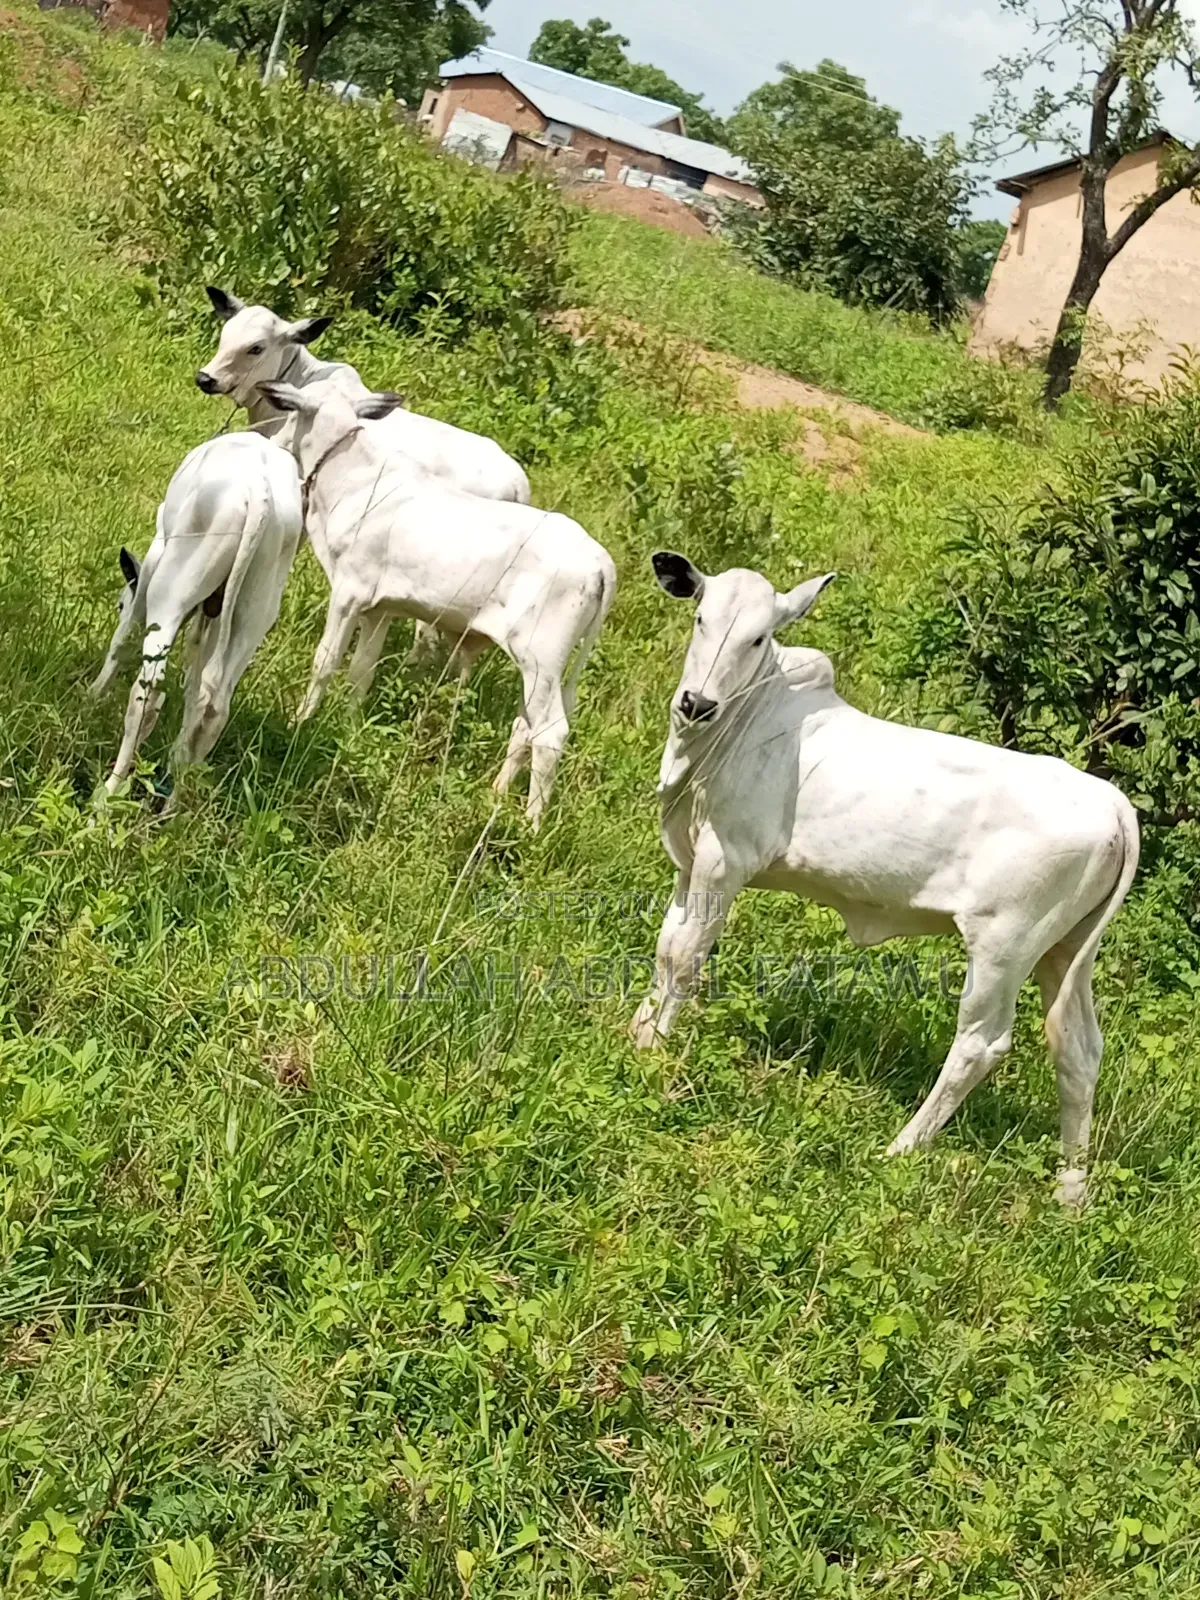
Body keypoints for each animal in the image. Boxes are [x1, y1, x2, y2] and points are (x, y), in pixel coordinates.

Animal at [91, 432, 303, 795]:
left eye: (119, 604)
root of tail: (259, 491)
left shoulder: (156, 552)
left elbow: (125, 636)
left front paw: (93, 692)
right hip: (254, 612)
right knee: (214, 705)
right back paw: (174, 792)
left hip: (171, 588)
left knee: (149, 692)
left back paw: (109, 792)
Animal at [258, 379, 616, 830]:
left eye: (291, 411)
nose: (273, 440)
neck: (354, 483)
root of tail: (599, 559)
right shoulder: (379, 609)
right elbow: (362, 671)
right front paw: (348, 724)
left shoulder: (348, 593)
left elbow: (325, 662)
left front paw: (300, 720)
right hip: (541, 669)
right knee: (526, 725)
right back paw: (497, 792)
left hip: (542, 657)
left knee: (551, 733)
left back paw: (531, 824)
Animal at [631, 552, 1140, 1206]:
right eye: (701, 617)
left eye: (758, 637)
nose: (697, 702)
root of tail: (1111, 800)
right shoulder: (689, 863)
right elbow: (667, 946)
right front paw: (637, 1032)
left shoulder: (726, 860)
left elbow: (686, 956)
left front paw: (654, 1051)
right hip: (1064, 949)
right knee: (1077, 1049)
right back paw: (1069, 1193)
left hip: (1004, 946)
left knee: (981, 1042)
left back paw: (902, 1147)